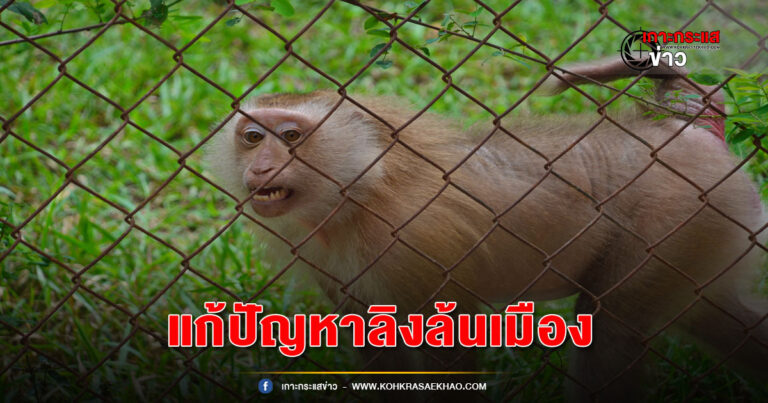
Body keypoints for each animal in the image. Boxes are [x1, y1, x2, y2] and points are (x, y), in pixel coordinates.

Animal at [204, 58, 768, 402]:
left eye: (290, 137)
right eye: (252, 138)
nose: (262, 167)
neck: (359, 194)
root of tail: (681, 133)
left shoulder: (414, 238)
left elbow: (447, 348)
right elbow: (376, 345)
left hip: (677, 216)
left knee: (610, 326)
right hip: (705, 229)